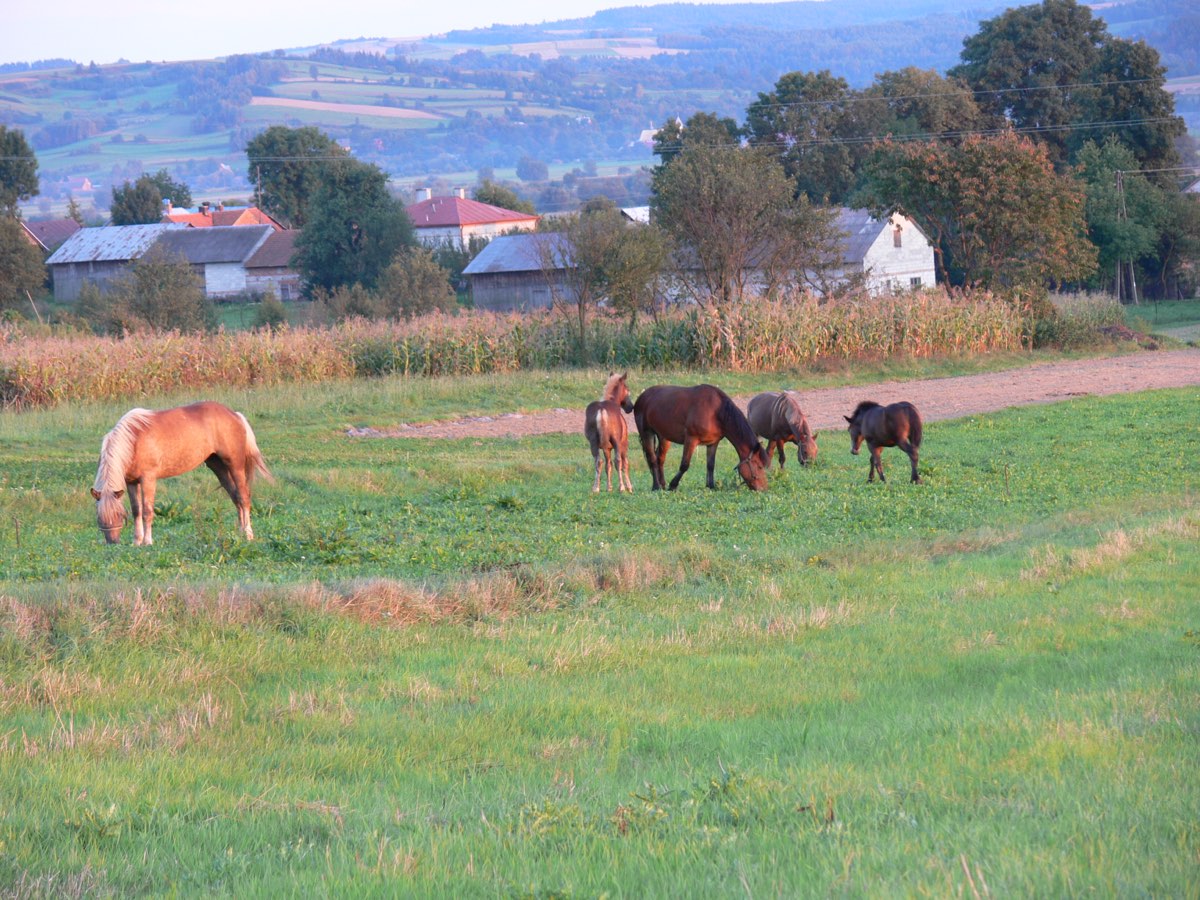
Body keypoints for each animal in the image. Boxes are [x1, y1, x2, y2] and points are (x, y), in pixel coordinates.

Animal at [92, 401, 273, 545]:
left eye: (119, 514)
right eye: (99, 517)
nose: (112, 542)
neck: (134, 439)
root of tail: (235, 414)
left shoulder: (148, 479)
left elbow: (147, 511)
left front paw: (148, 541)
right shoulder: (131, 482)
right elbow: (137, 511)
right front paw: (137, 541)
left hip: (235, 465)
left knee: (243, 497)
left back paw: (248, 534)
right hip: (218, 467)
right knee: (235, 497)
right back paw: (240, 532)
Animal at [633, 384, 769, 491]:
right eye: (760, 466)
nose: (763, 488)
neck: (716, 412)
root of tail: (642, 397)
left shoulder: (713, 443)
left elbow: (710, 465)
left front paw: (711, 486)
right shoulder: (691, 439)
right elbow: (684, 465)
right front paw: (673, 485)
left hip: (663, 437)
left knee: (660, 458)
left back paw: (662, 484)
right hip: (646, 433)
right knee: (652, 459)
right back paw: (656, 486)